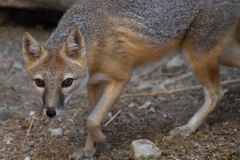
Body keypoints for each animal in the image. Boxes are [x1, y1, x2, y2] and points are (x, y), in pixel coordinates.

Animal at [21, 0, 239, 159]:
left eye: (67, 82)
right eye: (40, 83)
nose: (50, 112)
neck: (96, 38)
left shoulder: (120, 79)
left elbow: (92, 120)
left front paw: (101, 138)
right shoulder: (94, 82)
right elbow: (92, 115)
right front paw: (90, 149)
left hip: (197, 56)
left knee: (216, 94)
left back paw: (189, 127)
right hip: (222, 55)